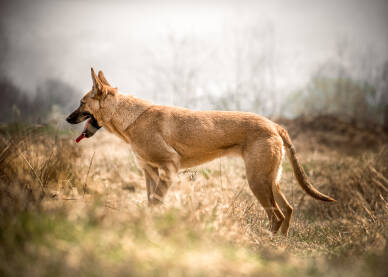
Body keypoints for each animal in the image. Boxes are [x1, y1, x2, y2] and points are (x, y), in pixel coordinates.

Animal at [66, 68, 334, 234]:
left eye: (81, 103)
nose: (67, 119)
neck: (131, 118)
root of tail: (275, 125)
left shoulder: (169, 166)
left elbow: (157, 202)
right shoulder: (150, 172)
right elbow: (151, 202)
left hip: (257, 181)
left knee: (276, 215)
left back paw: (266, 244)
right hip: (270, 180)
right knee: (288, 211)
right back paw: (281, 246)